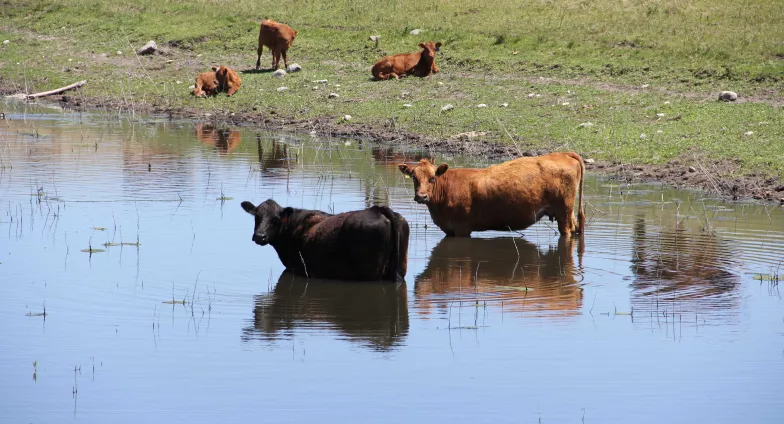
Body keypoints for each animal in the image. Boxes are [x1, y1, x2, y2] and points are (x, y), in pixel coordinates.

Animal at [239, 199, 410, 282]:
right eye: (256, 217)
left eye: (275, 220)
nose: (259, 236)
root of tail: (378, 209)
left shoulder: (300, 269)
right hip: (399, 269)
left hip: (371, 273)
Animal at [402, 152, 584, 238]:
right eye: (414, 177)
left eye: (432, 178)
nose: (421, 196)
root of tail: (563, 153)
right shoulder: (449, 230)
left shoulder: (462, 229)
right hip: (567, 212)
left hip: (563, 211)